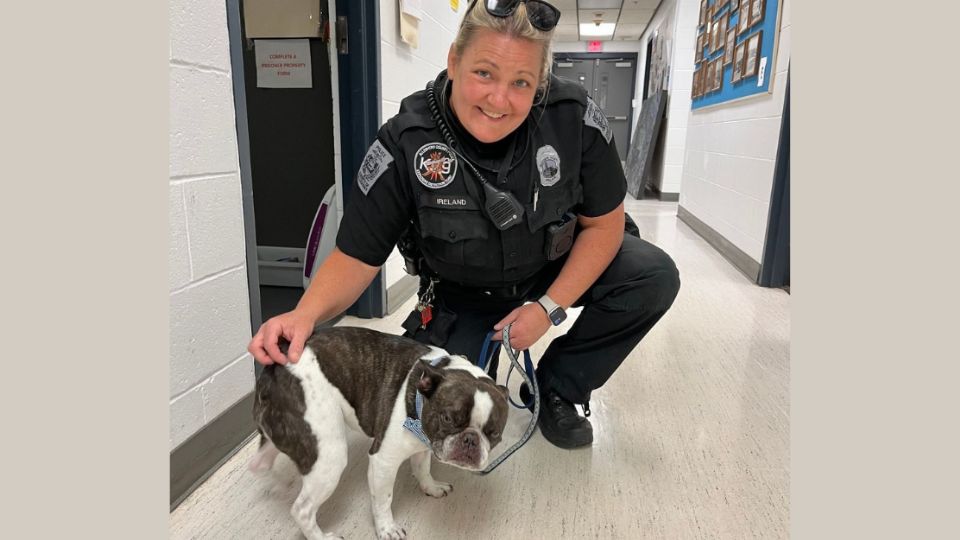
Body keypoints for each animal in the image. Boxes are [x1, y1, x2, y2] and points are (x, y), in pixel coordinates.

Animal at [248, 326, 510, 536]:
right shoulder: (384, 461)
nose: (470, 440)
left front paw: (431, 487)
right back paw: (321, 536)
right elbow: (384, 499)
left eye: (494, 433)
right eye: (447, 418)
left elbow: (422, 468)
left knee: (263, 461)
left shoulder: (423, 444)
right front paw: (387, 529)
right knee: (302, 510)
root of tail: (275, 369)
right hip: (328, 456)